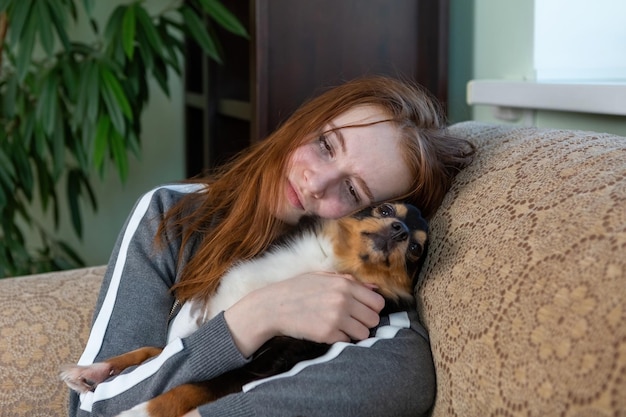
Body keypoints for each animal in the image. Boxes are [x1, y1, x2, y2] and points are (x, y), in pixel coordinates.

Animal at [61, 201, 426, 412]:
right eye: (385, 211)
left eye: (416, 250)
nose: (400, 231)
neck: (329, 263)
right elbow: (152, 351)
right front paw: (95, 370)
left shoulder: (265, 364)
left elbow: (189, 387)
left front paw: (140, 410)